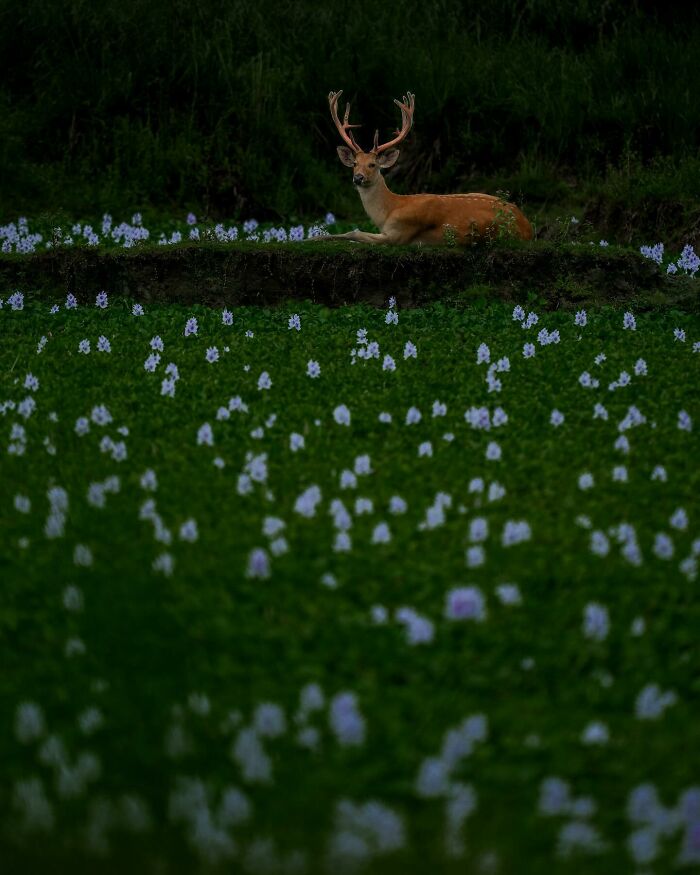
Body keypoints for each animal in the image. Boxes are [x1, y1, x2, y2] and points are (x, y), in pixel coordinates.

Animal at [320, 91, 532, 246]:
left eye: (373, 164)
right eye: (355, 164)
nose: (358, 178)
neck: (389, 210)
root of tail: (528, 227)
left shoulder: (399, 234)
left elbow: (354, 232)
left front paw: (317, 237)